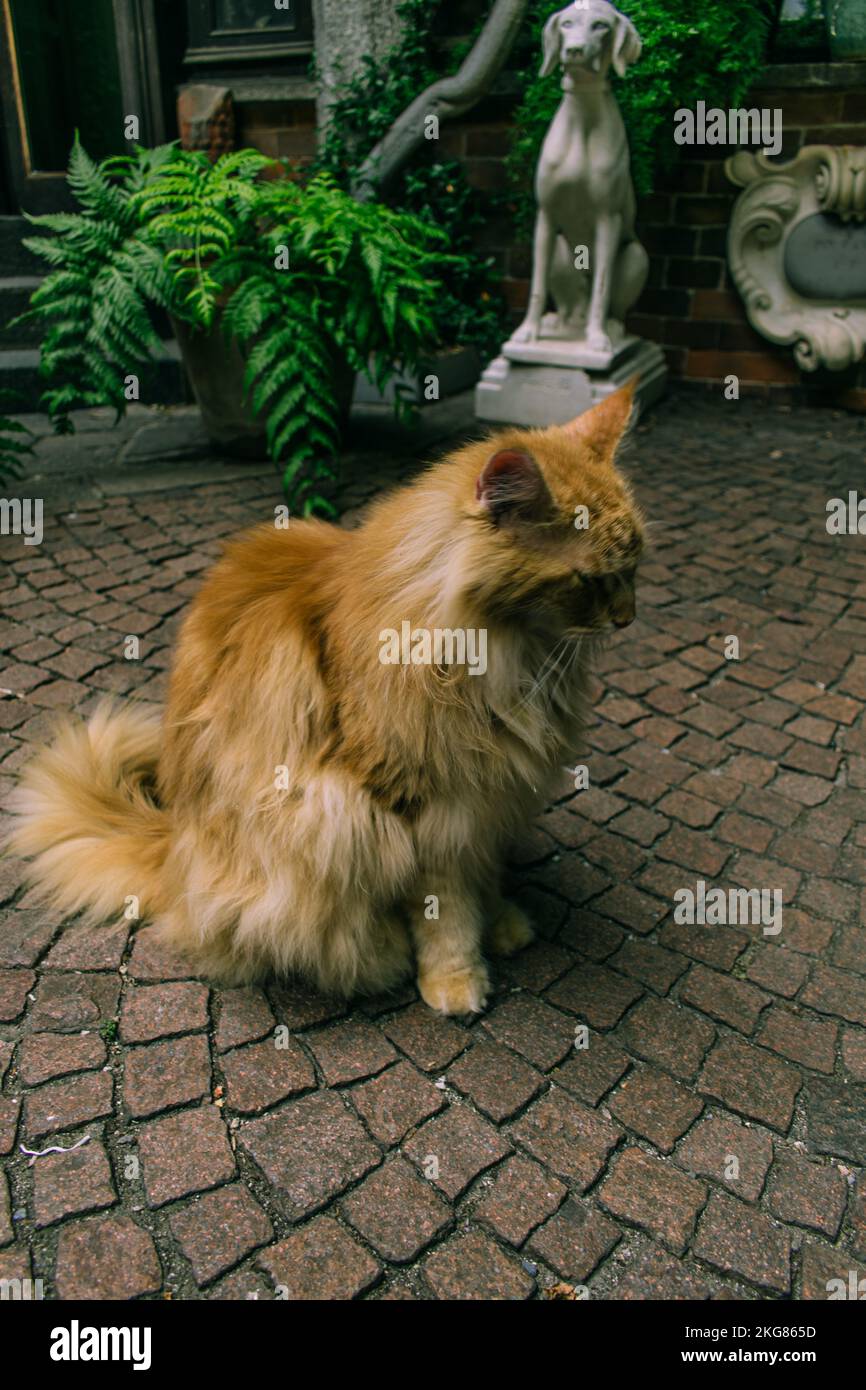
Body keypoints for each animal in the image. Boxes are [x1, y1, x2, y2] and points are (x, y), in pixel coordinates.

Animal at [6, 386, 644, 1017]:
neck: (513, 658)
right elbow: (447, 911)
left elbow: (482, 874)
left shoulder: (487, 797)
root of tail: (172, 846)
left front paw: (503, 922)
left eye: (634, 568)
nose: (627, 618)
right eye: (589, 581)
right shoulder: (420, 804)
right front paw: (456, 979)